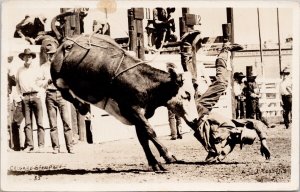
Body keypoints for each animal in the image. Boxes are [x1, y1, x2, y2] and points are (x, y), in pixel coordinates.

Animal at [50, 32, 270, 171]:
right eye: (186, 94)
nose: (195, 119)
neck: (145, 82)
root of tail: (64, 44)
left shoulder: (138, 115)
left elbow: (144, 138)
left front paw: (155, 163)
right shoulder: (133, 110)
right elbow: (151, 132)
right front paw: (168, 156)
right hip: (58, 75)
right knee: (63, 90)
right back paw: (81, 107)